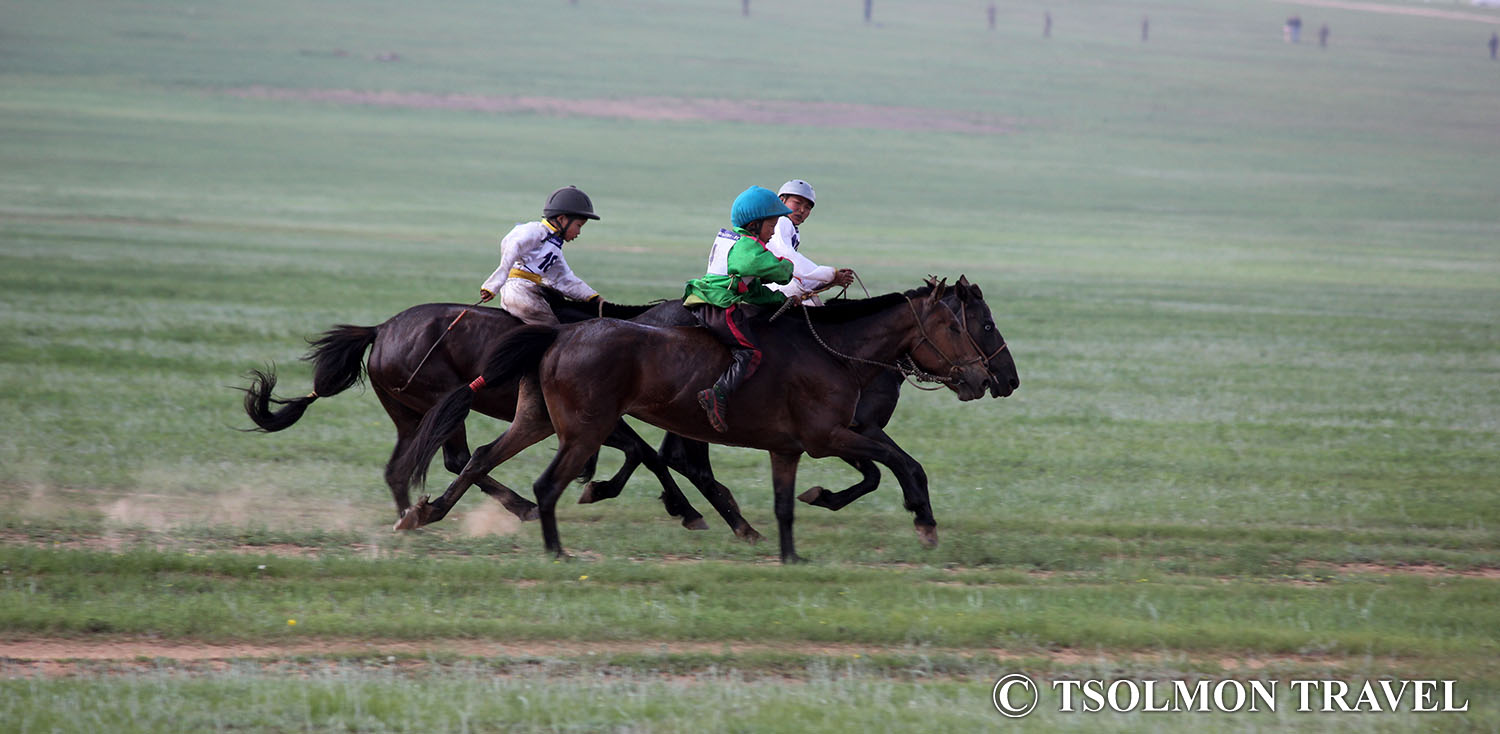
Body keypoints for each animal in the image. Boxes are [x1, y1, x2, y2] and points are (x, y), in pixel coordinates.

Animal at [240, 295, 756, 531]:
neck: (641, 336)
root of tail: (380, 329)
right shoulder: (600, 418)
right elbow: (646, 454)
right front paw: (685, 509)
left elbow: (641, 454)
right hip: (443, 405)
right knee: (454, 459)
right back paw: (515, 506)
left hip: (411, 415)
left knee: (401, 468)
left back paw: (413, 513)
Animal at [396, 279, 1008, 561]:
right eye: (970, 324)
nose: (990, 379)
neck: (838, 351)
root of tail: (558, 333)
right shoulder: (830, 435)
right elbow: (902, 464)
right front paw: (924, 521)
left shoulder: (794, 445)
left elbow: (794, 501)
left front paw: (790, 545)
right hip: (586, 427)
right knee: (558, 480)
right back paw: (560, 545)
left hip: (539, 421)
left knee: (481, 457)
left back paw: (423, 514)